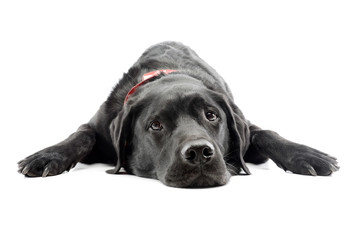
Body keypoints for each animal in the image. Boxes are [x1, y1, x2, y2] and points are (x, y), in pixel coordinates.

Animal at [16, 40, 338, 188]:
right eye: (155, 125)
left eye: (212, 116)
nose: (200, 153)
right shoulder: (99, 124)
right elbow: (80, 135)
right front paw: (46, 156)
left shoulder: (245, 126)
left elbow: (267, 134)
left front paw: (308, 155)